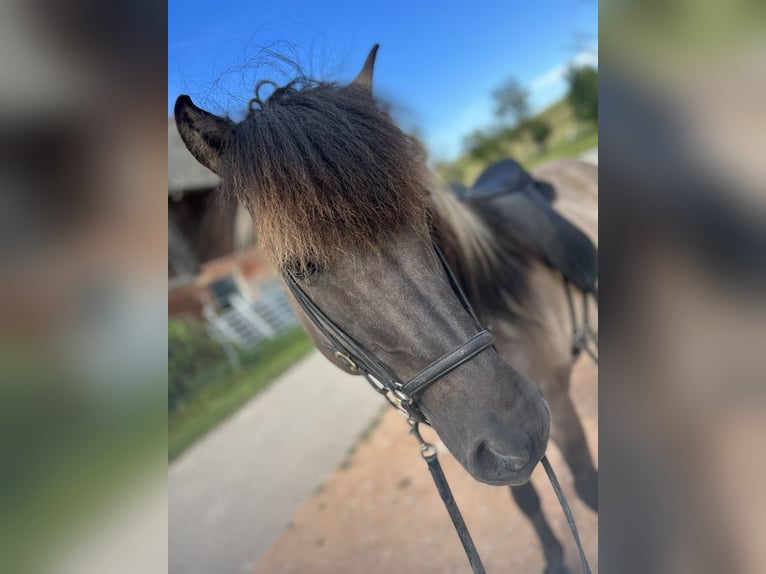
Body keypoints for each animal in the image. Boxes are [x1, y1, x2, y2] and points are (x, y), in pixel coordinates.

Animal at [174, 45, 598, 573]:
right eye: (300, 265)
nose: (517, 429)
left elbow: (586, 484)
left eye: (424, 215)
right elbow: (528, 500)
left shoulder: (557, 401)